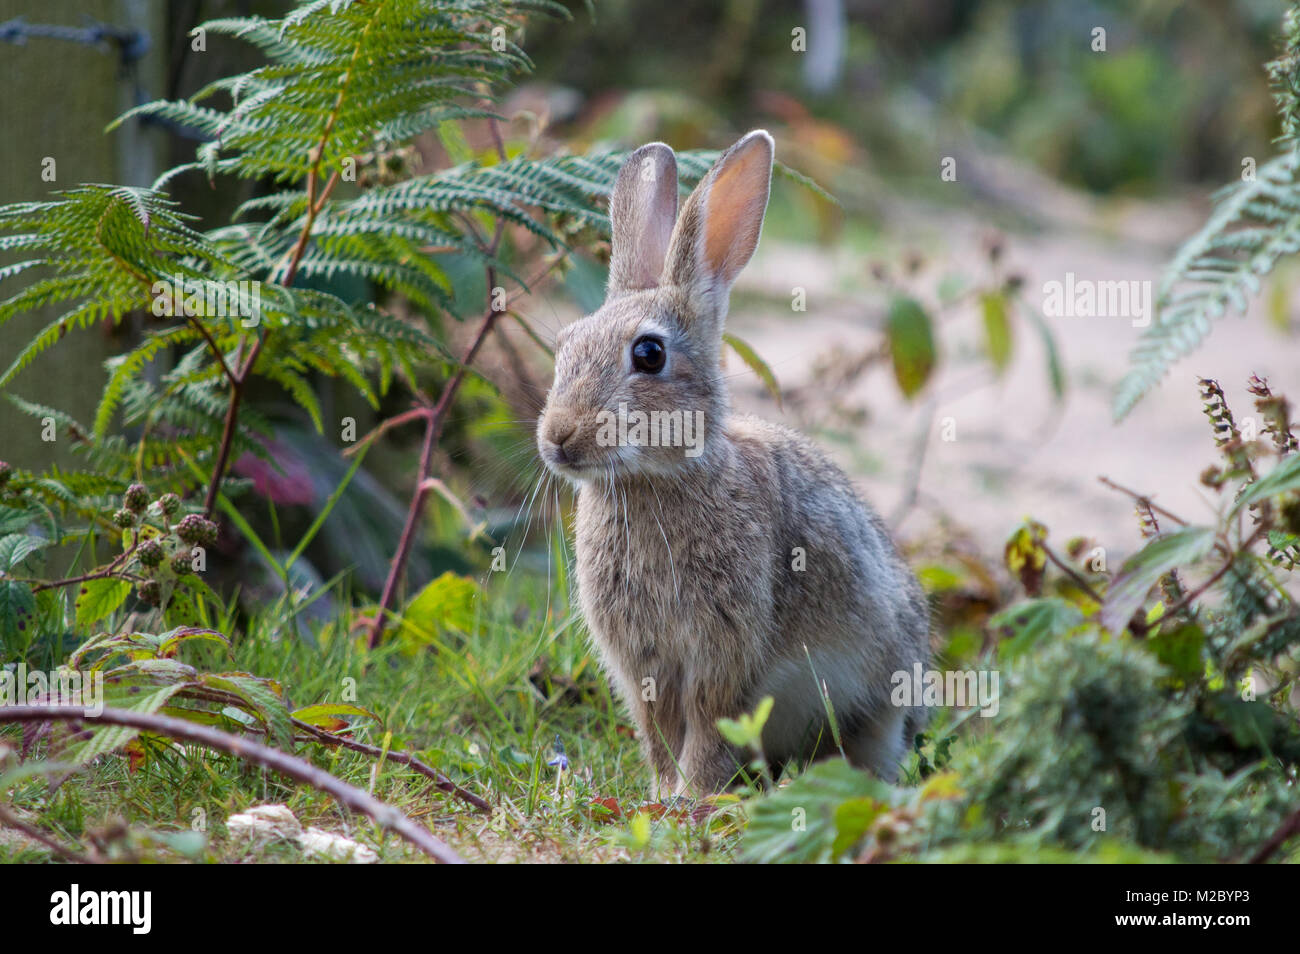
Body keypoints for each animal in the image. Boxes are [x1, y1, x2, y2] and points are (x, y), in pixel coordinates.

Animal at [536, 130, 931, 797]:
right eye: (564, 346)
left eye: (649, 354)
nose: (558, 436)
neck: (659, 479)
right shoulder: (645, 661)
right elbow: (659, 730)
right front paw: (662, 793)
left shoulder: (727, 650)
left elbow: (708, 724)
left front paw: (691, 797)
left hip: (879, 697)